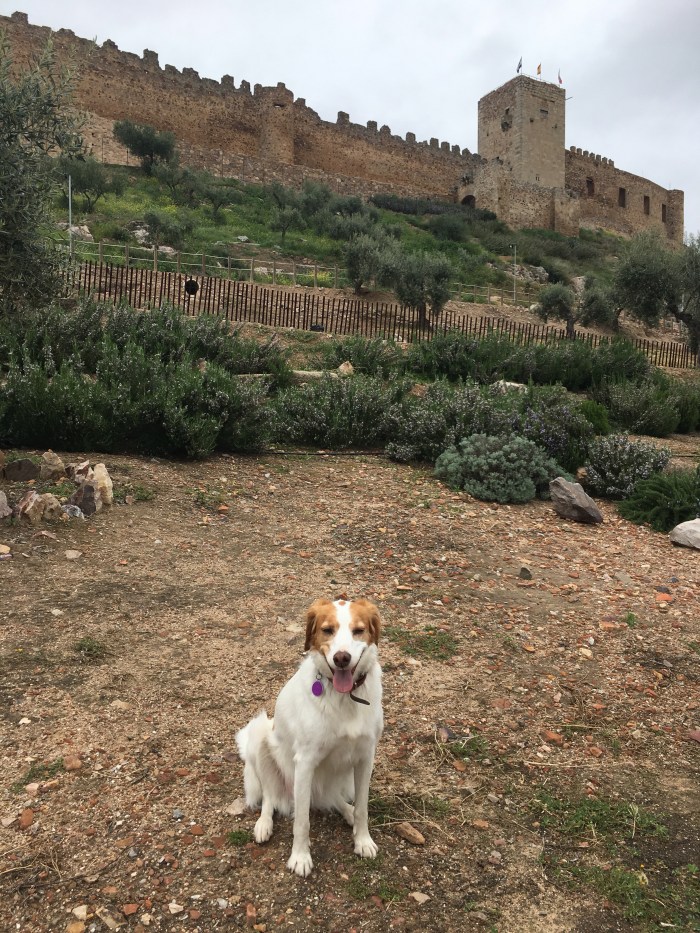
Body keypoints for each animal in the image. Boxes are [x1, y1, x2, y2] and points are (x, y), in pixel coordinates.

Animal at [235, 597, 383, 877]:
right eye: (327, 630)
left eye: (358, 630)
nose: (342, 658)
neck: (344, 697)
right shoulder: (304, 763)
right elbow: (302, 822)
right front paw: (300, 858)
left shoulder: (365, 757)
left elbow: (363, 808)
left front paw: (362, 840)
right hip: (260, 734)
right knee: (270, 797)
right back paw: (263, 825)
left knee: (333, 797)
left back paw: (346, 811)